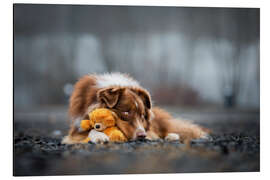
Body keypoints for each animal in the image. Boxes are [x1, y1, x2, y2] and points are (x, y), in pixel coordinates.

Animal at [62, 72, 210, 144]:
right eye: (126, 112)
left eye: (142, 116)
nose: (142, 136)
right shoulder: (76, 128)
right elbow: (89, 131)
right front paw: (99, 136)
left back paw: (172, 136)